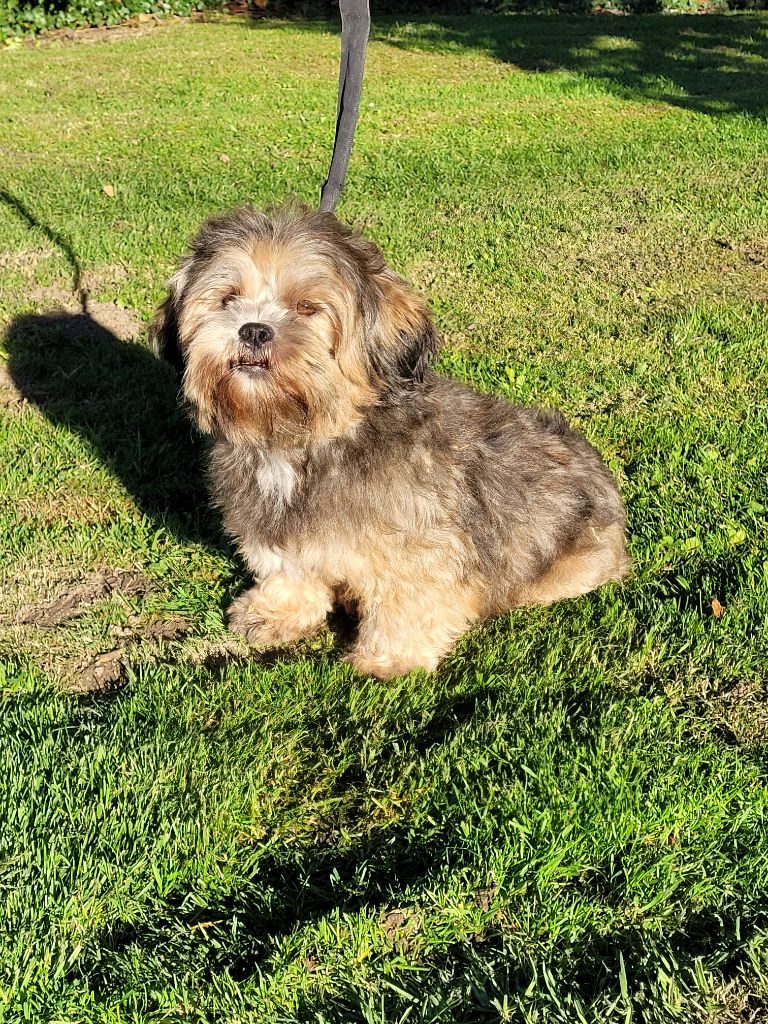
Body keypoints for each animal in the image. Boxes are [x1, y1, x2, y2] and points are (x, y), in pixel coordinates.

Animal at [151, 203, 630, 675]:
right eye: (228, 298)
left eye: (307, 307)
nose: (252, 329)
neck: (304, 441)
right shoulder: (278, 531)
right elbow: (289, 568)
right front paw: (277, 611)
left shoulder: (418, 543)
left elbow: (406, 596)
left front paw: (390, 657)